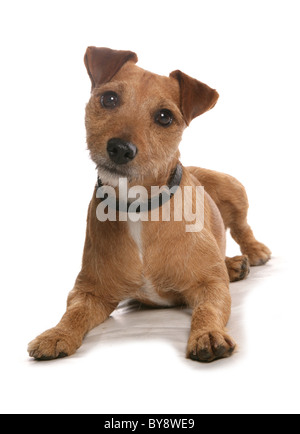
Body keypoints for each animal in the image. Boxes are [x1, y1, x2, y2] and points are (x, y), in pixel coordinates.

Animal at [28, 46, 272, 362]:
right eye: (109, 99)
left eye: (165, 117)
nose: (120, 148)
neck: (138, 206)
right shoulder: (89, 291)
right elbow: (74, 313)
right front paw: (56, 334)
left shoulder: (210, 287)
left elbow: (208, 308)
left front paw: (207, 333)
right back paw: (232, 265)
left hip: (233, 187)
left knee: (242, 227)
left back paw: (250, 254)